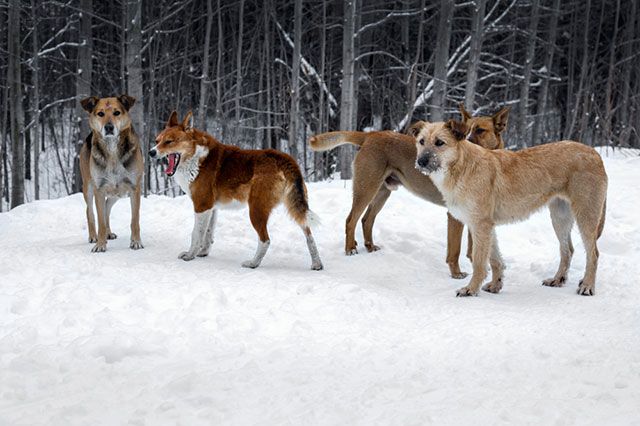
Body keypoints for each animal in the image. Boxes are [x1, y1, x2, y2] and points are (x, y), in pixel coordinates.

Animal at [79, 95, 144, 251]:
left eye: (117, 112)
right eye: (100, 113)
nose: (109, 127)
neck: (112, 148)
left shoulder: (134, 188)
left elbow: (135, 220)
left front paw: (136, 242)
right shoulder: (99, 189)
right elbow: (100, 221)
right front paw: (100, 244)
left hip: (117, 193)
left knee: (107, 207)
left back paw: (108, 233)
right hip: (88, 187)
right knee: (90, 212)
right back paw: (93, 236)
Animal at [148, 110, 322, 270]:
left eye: (169, 142)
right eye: (157, 141)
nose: (151, 152)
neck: (196, 157)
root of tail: (282, 158)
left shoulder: (201, 206)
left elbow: (196, 234)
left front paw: (190, 255)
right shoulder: (211, 208)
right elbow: (208, 234)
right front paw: (203, 253)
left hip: (256, 211)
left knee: (265, 240)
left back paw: (253, 263)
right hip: (296, 208)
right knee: (309, 235)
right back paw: (317, 263)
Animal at [310, 105, 510, 280]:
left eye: (480, 130)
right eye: (464, 132)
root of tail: (371, 134)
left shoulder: (474, 214)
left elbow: (472, 246)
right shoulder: (454, 216)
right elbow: (455, 250)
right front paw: (456, 274)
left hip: (382, 192)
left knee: (367, 220)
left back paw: (370, 246)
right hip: (366, 188)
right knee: (351, 219)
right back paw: (350, 248)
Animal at [412, 120, 608, 298]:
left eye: (440, 142)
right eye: (421, 141)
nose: (420, 162)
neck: (461, 166)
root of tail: (595, 153)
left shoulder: (480, 225)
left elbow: (479, 263)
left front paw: (471, 289)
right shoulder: (486, 227)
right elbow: (495, 260)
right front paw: (495, 285)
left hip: (585, 217)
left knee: (594, 254)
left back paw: (587, 286)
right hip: (559, 218)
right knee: (568, 250)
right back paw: (557, 280)